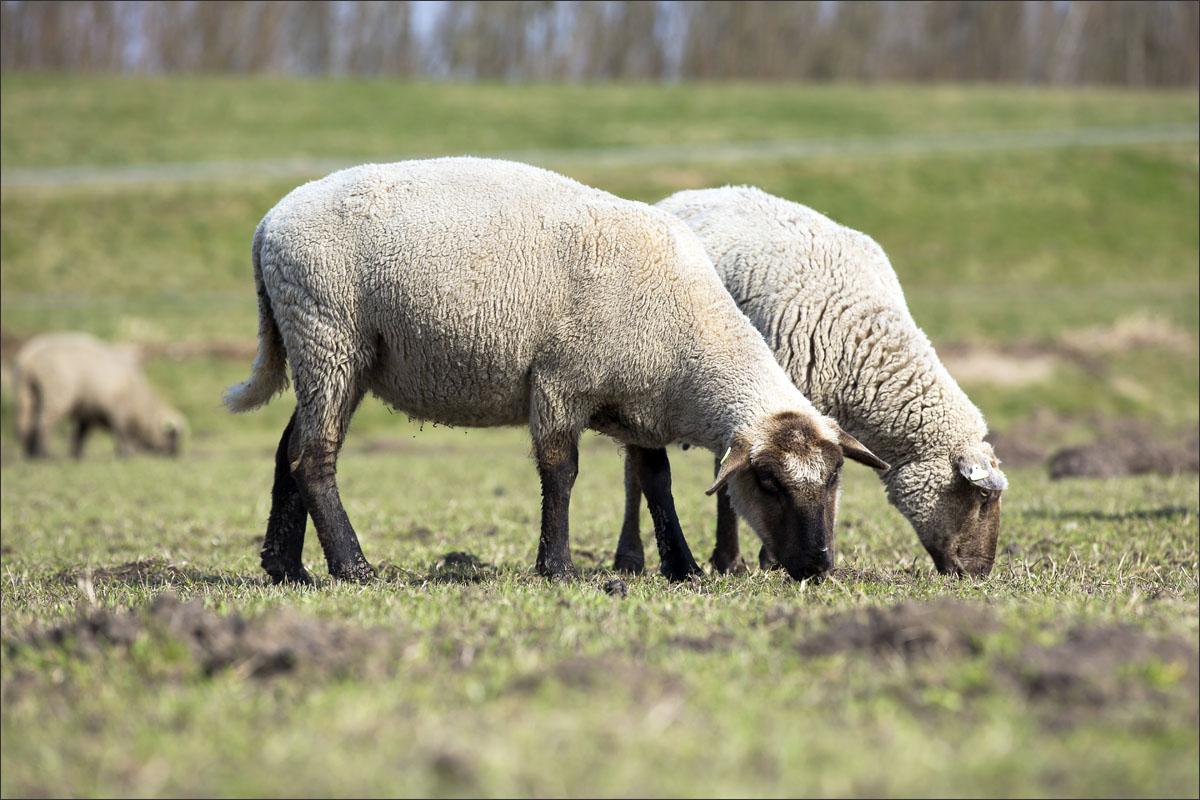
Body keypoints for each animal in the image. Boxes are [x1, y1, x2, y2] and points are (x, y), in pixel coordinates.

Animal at [14, 331, 187, 455]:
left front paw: (76, 455)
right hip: (57, 394)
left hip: (26, 392)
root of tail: (30, 358)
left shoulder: (87, 412)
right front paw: (127, 454)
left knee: (25, 421)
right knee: (44, 422)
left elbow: (80, 435)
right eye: (171, 435)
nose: (175, 455)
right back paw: (44, 453)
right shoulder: (118, 412)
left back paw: (29, 452)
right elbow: (123, 434)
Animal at [225, 155, 888, 585]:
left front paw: (683, 568)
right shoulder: (562, 382)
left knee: (289, 448)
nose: (817, 566)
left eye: (835, 476)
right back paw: (352, 568)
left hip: (325, 349)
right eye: (769, 483)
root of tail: (267, 225)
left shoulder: (639, 400)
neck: (690, 347)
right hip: (329, 334)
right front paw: (559, 568)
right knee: (314, 457)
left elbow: (656, 481)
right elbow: (561, 473)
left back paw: (286, 568)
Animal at [614, 185, 1008, 575]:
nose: (979, 573)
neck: (862, 336)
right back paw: (631, 558)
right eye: (984, 495)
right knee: (635, 476)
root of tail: (692, 192)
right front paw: (768, 560)